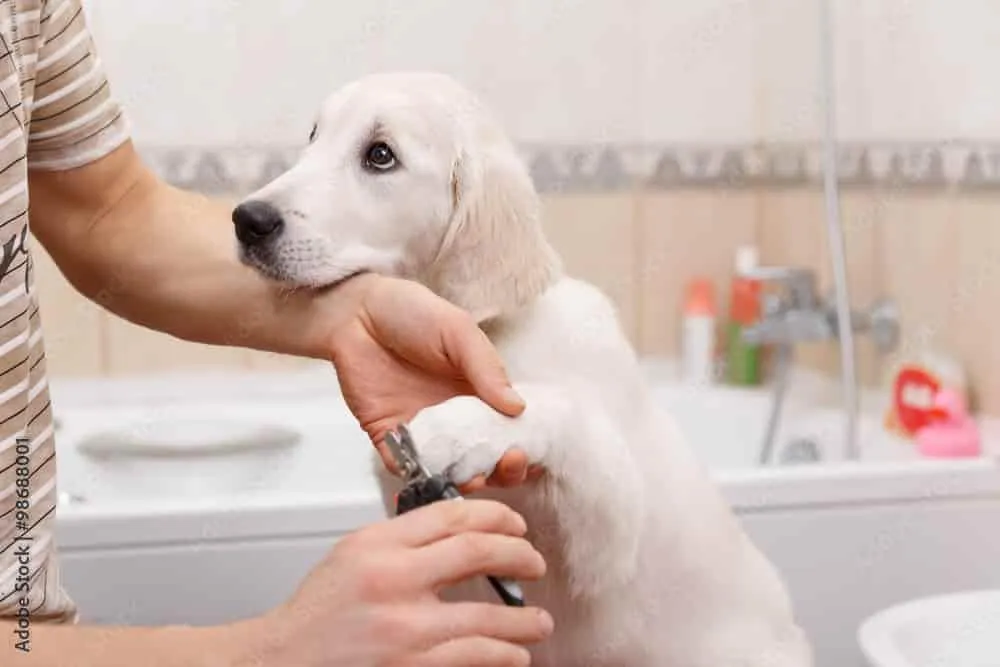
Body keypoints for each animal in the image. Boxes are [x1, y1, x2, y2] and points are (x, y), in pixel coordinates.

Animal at [234, 72, 812, 667]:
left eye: (380, 155)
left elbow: (558, 408)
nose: (246, 220)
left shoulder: (612, 538)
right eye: (314, 136)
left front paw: (460, 428)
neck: (495, 331)